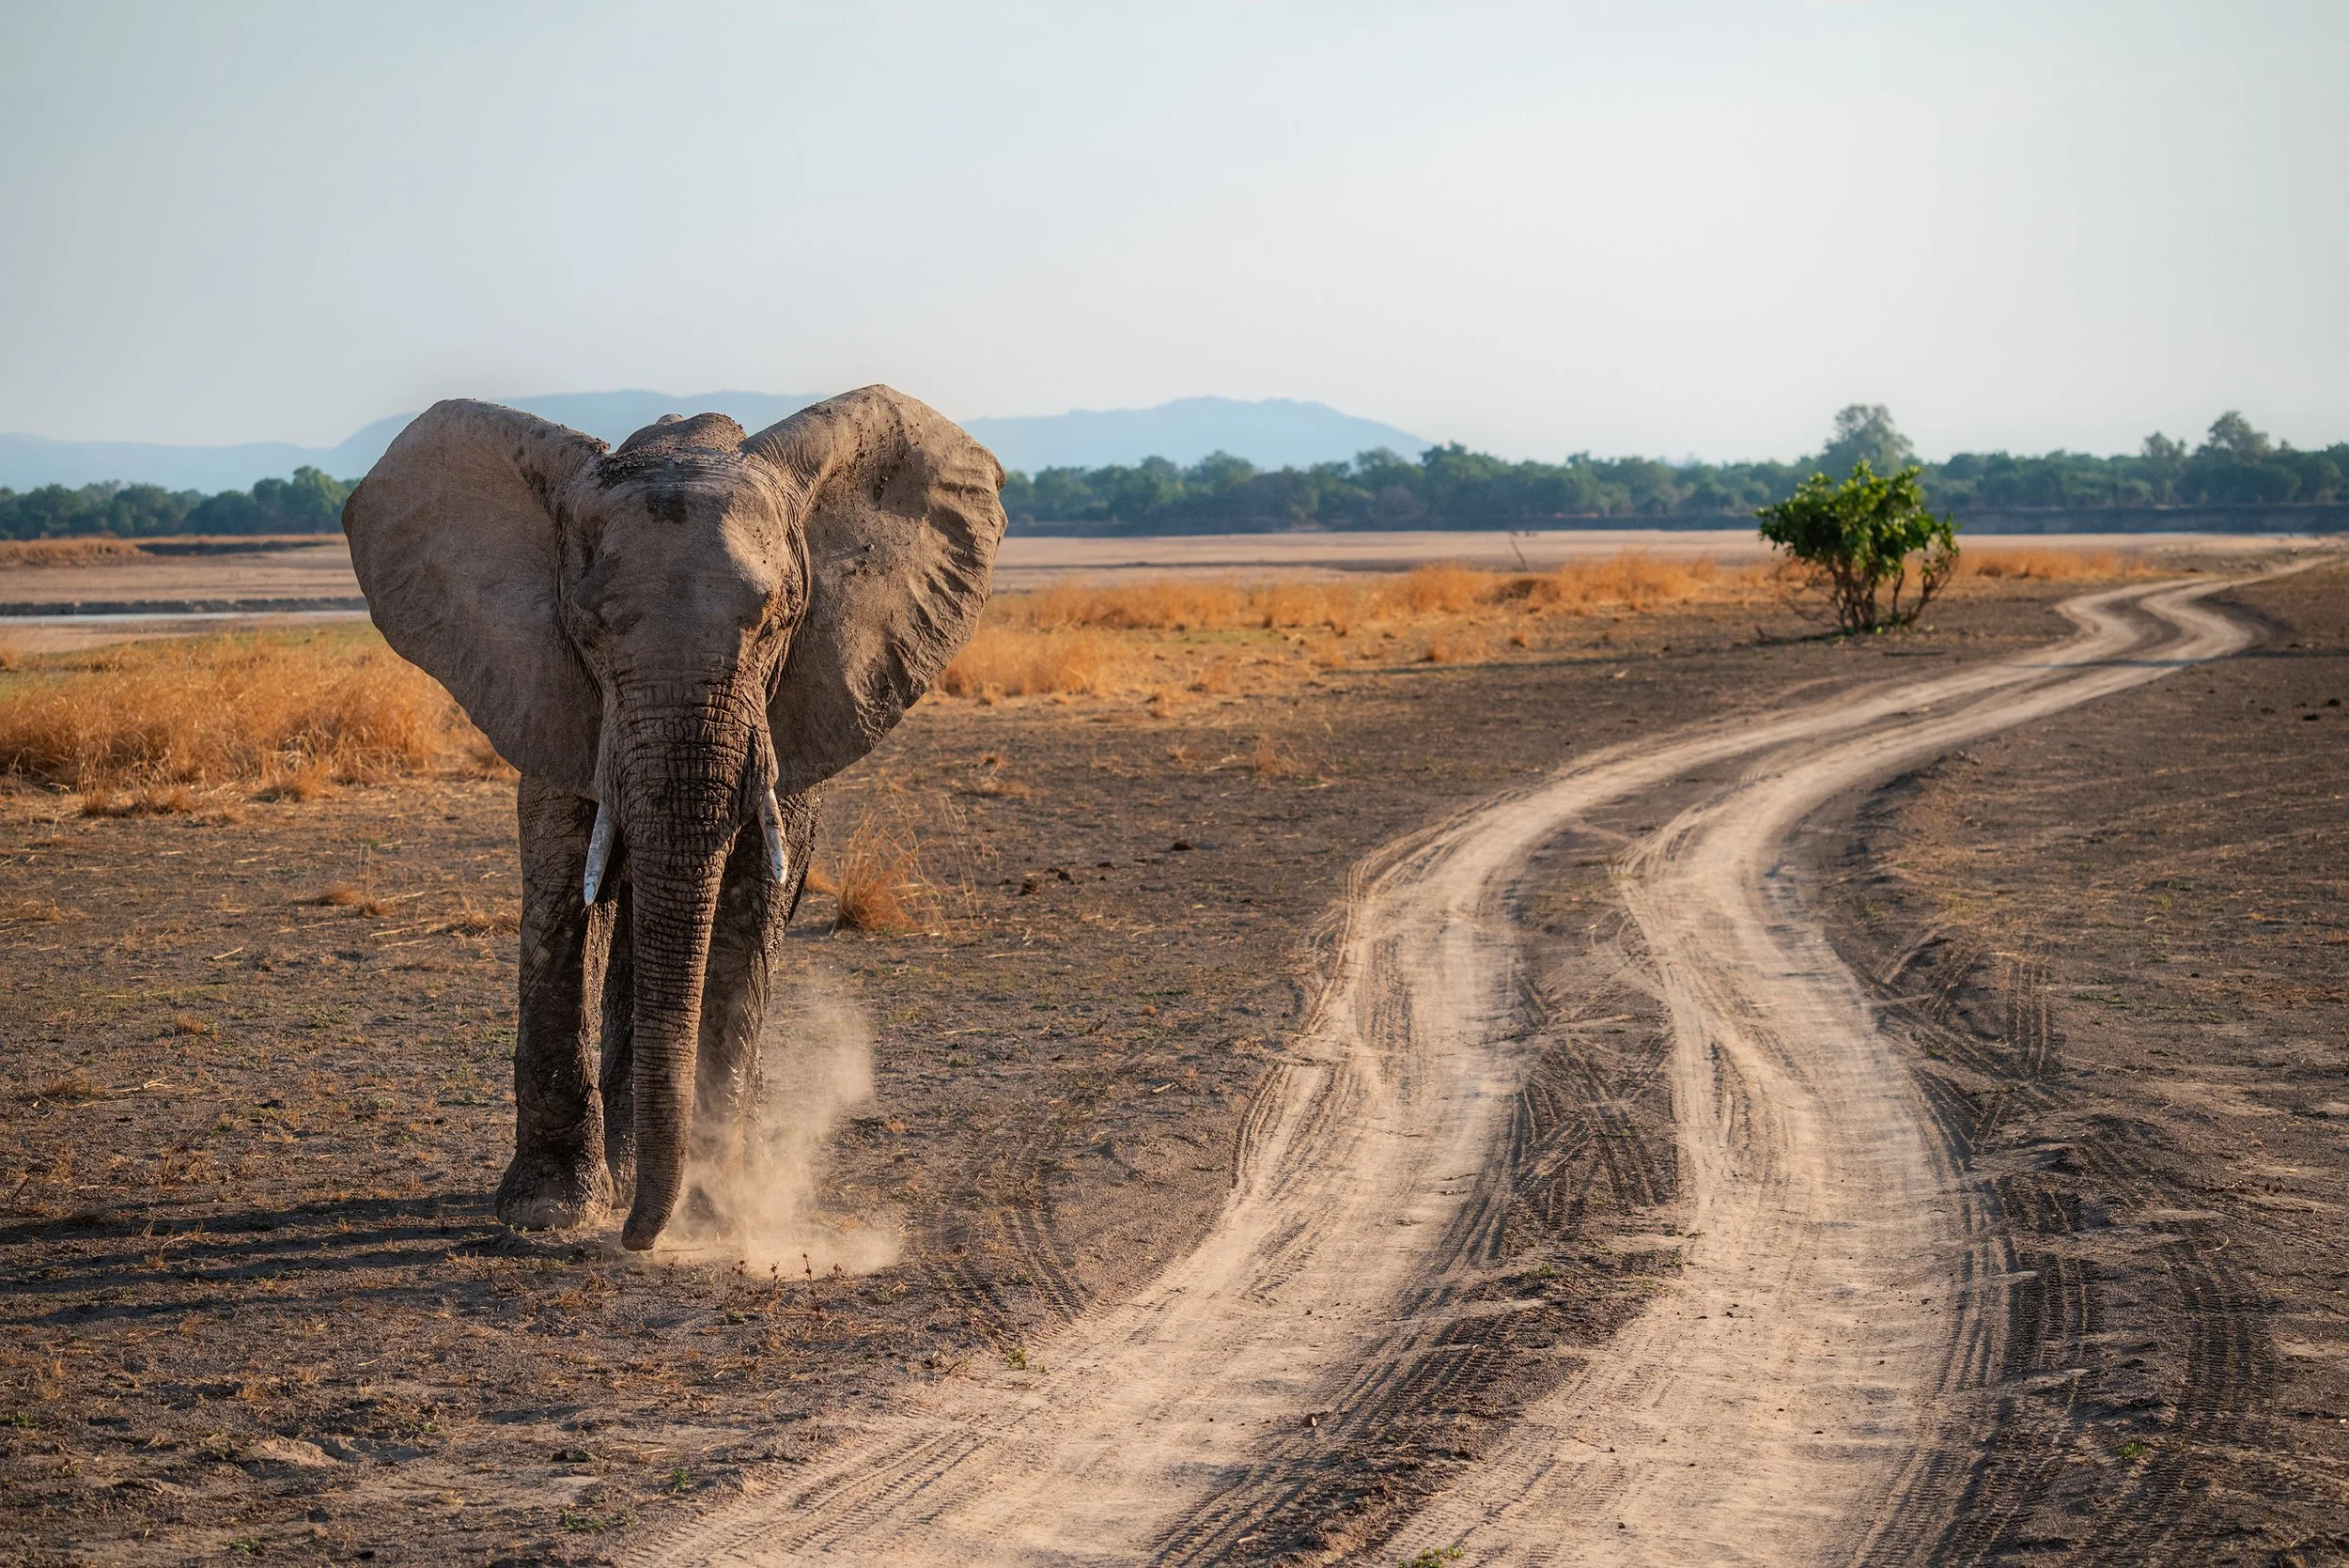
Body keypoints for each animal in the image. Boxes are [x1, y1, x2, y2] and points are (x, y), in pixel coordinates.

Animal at [343, 386, 1005, 1250]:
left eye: (778, 619)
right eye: (590, 625)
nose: (635, 1238)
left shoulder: (794, 702)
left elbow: (752, 896)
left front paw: (717, 1212)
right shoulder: (553, 690)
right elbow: (565, 879)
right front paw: (549, 1211)